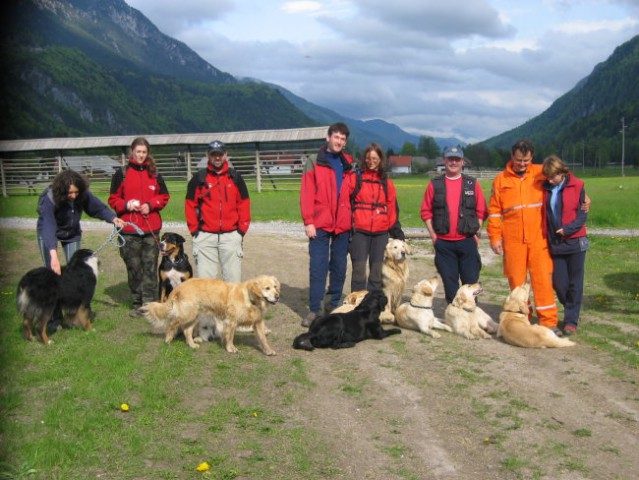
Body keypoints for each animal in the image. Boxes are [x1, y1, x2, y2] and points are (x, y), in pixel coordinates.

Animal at [145, 276, 280, 354]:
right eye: (267, 288)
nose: (277, 296)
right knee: (172, 324)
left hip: (194, 315)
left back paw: (192, 345)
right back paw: (168, 339)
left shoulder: (258, 322)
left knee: (187, 331)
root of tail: (179, 287)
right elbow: (230, 337)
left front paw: (268, 350)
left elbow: (263, 338)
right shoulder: (231, 321)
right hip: (187, 314)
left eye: (275, 287)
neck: (250, 298)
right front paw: (231, 348)